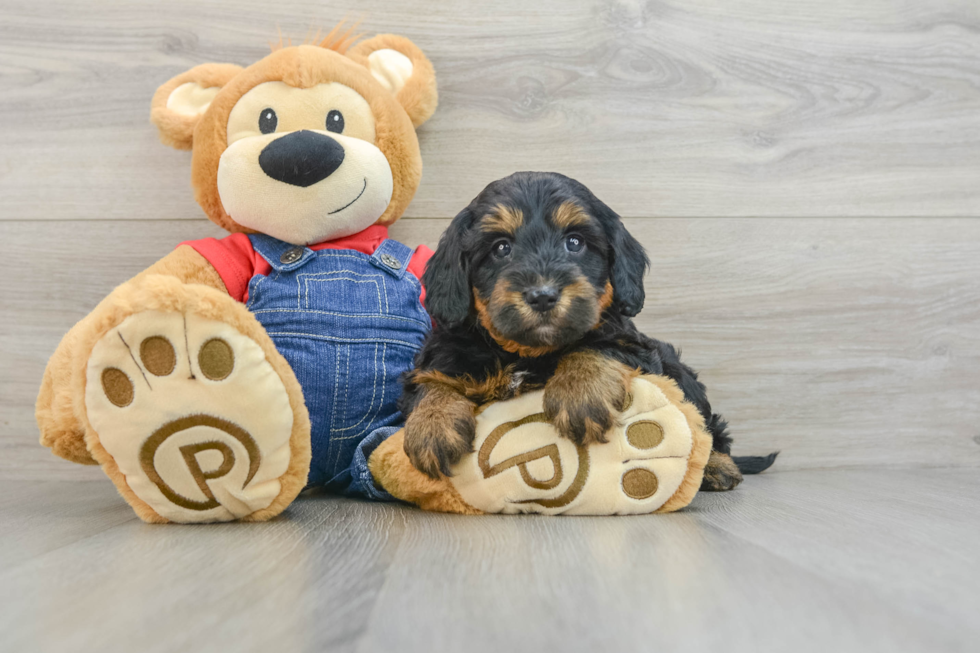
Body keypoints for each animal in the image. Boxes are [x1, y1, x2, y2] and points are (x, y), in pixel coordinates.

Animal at [398, 172, 772, 488]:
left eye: (575, 242)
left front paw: (580, 392)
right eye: (501, 248)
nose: (543, 295)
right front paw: (432, 424)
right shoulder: (448, 351)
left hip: (679, 372)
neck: (526, 352)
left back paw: (716, 466)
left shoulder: (634, 346)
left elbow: (595, 345)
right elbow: (431, 380)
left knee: (706, 426)